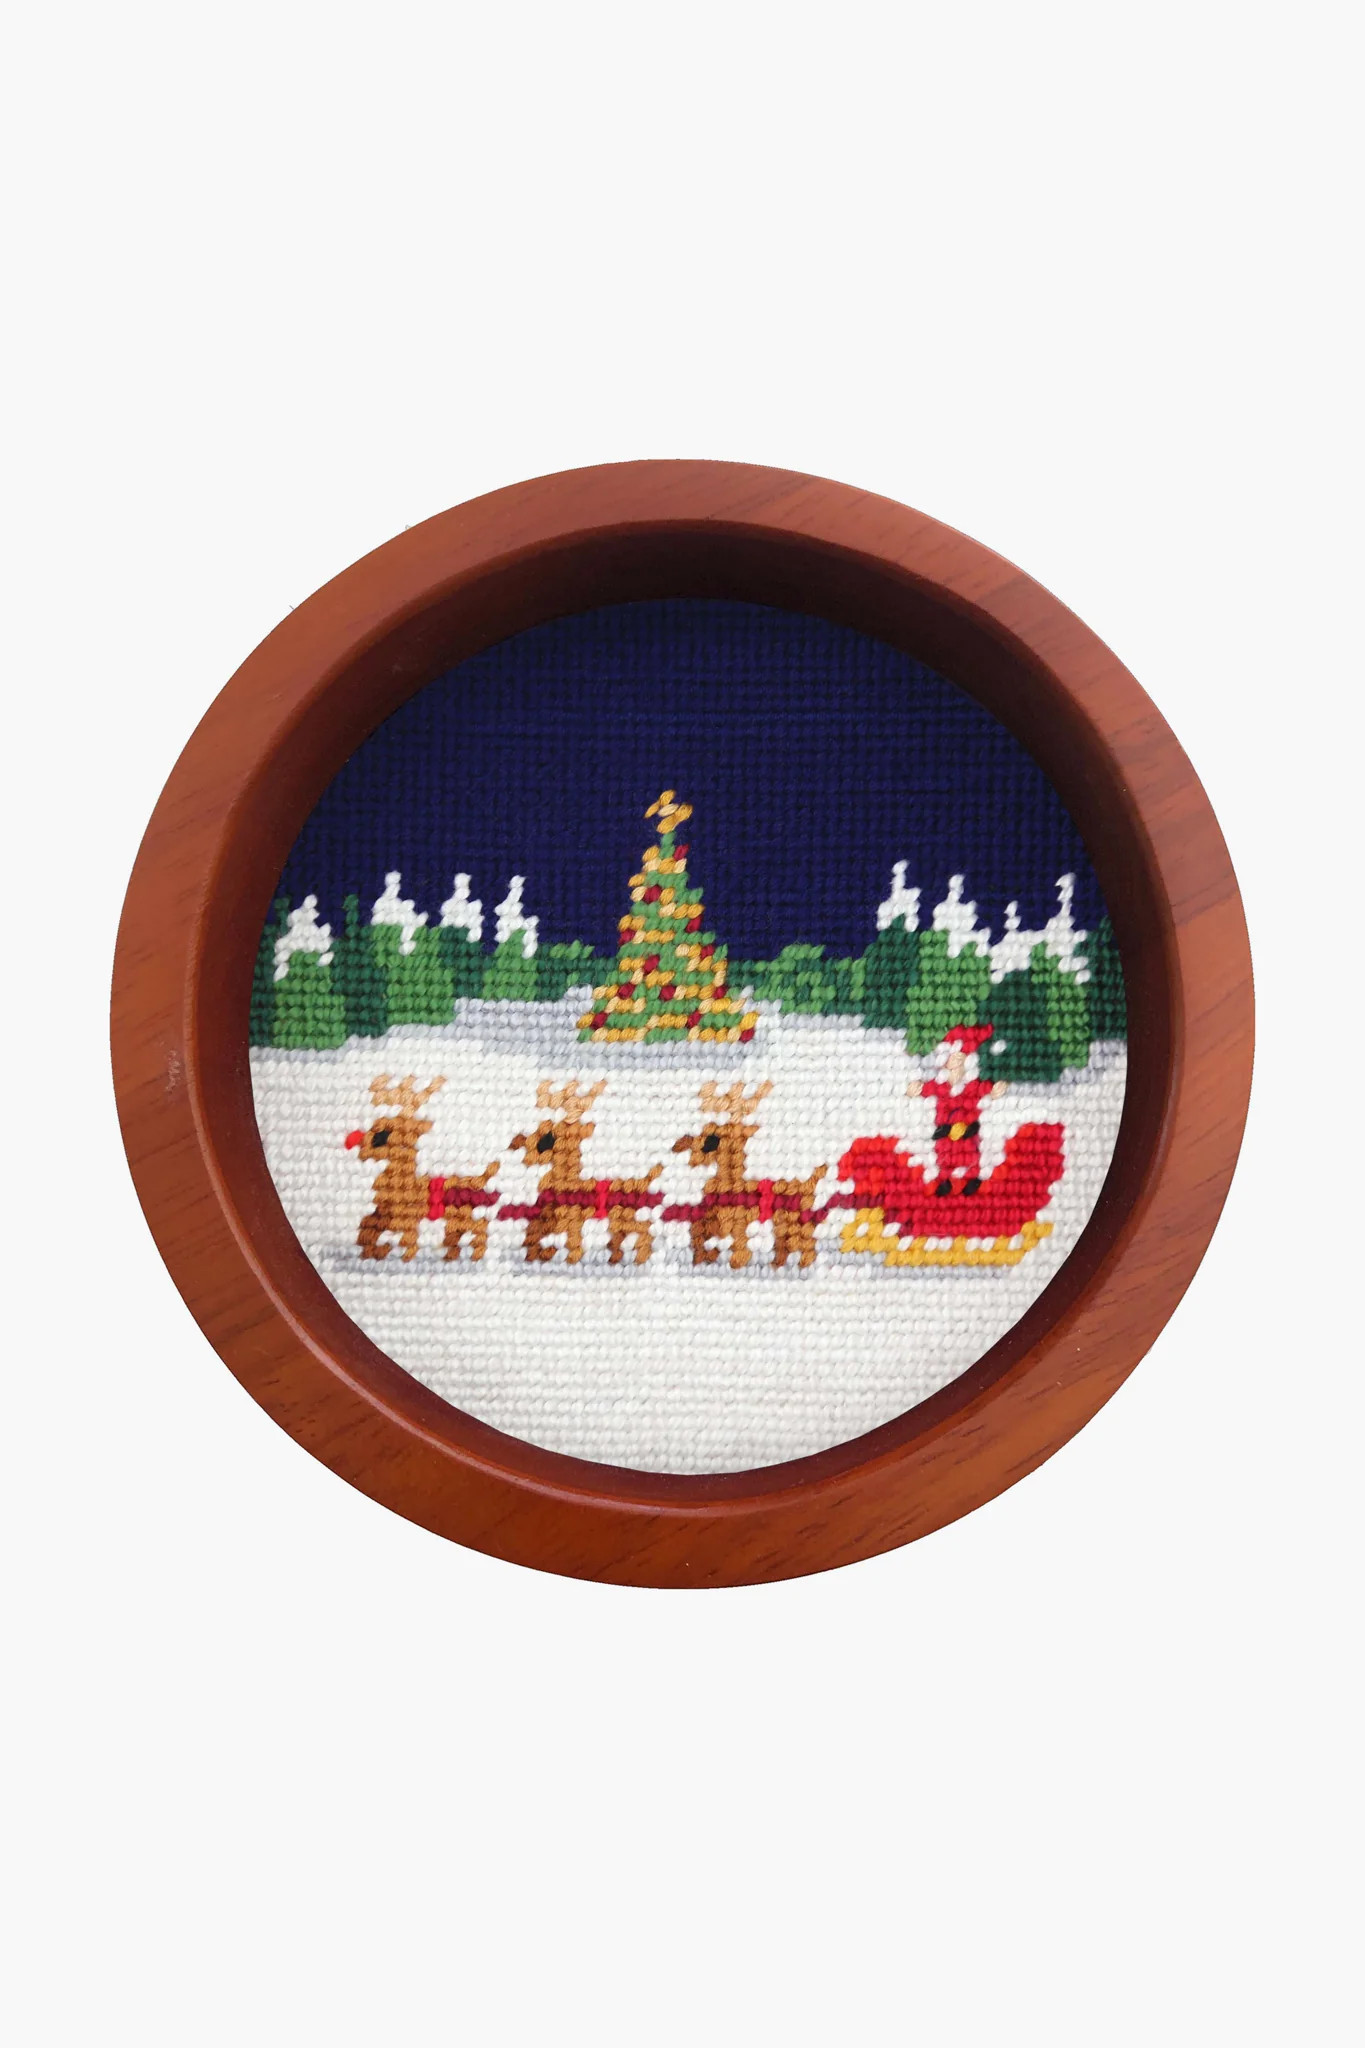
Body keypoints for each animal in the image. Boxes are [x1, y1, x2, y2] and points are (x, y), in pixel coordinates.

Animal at [345, 1076, 499, 1263]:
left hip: (465, 1215)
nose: (352, 1142)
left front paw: (397, 1252)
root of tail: (480, 1180)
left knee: (478, 1229)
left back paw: (475, 1254)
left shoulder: (405, 1218)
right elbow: (368, 1224)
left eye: (381, 1136)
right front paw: (373, 1249)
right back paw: (452, 1254)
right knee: (457, 1235)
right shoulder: (385, 1212)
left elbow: (405, 1238)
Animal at [508, 1080, 663, 1265]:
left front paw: (561, 1255)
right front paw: (544, 1252)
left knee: (644, 1228)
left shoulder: (570, 1218)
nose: (517, 1143)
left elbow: (568, 1240)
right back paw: (618, 1255)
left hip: (624, 1216)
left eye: (547, 1139)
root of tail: (643, 1181)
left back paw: (641, 1255)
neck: (566, 1182)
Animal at [672, 1081, 827, 1269]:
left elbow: (739, 1247)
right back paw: (779, 1264)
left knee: (805, 1243)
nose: (691, 1159)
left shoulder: (738, 1222)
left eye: (711, 1140)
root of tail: (809, 1183)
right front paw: (706, 1257)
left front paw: (735, 1262)